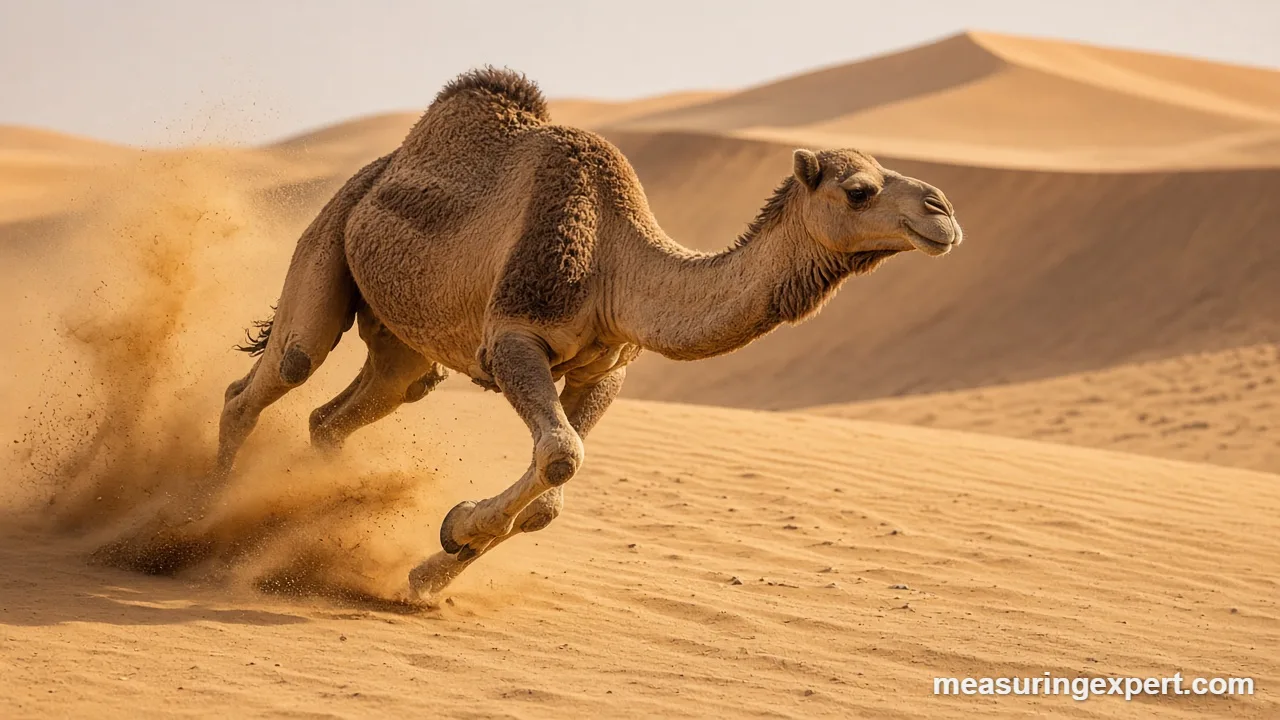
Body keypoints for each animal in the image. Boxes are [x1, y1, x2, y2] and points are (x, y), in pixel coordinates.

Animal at [216, 67, 963, 600]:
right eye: (860, 190)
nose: (943, 212)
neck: (615, 264)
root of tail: (381, 167)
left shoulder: (607, 367)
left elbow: (551, 497)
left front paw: (433, 567)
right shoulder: (513, 338)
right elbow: (560, 456)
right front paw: (454, 531)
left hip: (404, 341)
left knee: (346, 410)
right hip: (331, 232)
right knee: (277, 370)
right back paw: (208, 519)